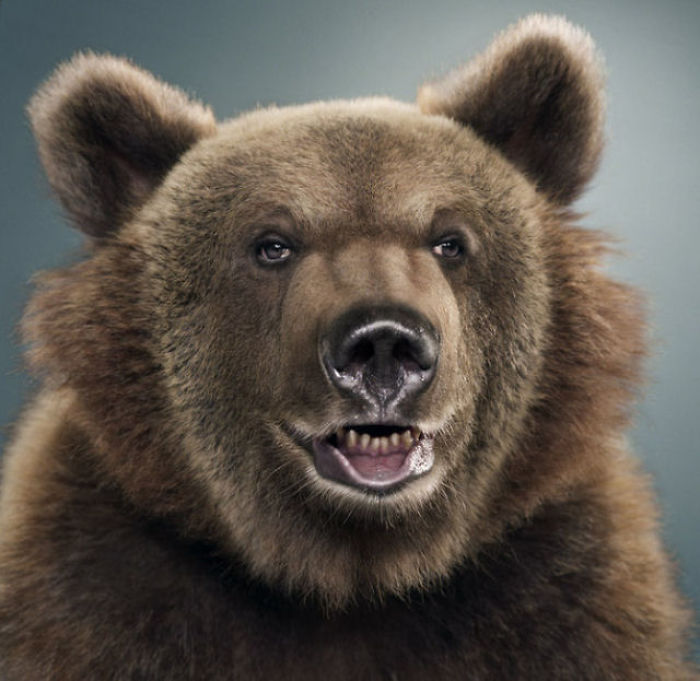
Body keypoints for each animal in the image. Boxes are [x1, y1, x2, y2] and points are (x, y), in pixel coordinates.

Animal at [0, 13, 696, 680]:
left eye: (450, 240)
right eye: (272, 244)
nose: (384, 345)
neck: (354, 570)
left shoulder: (568, 592)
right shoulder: (95, 584)